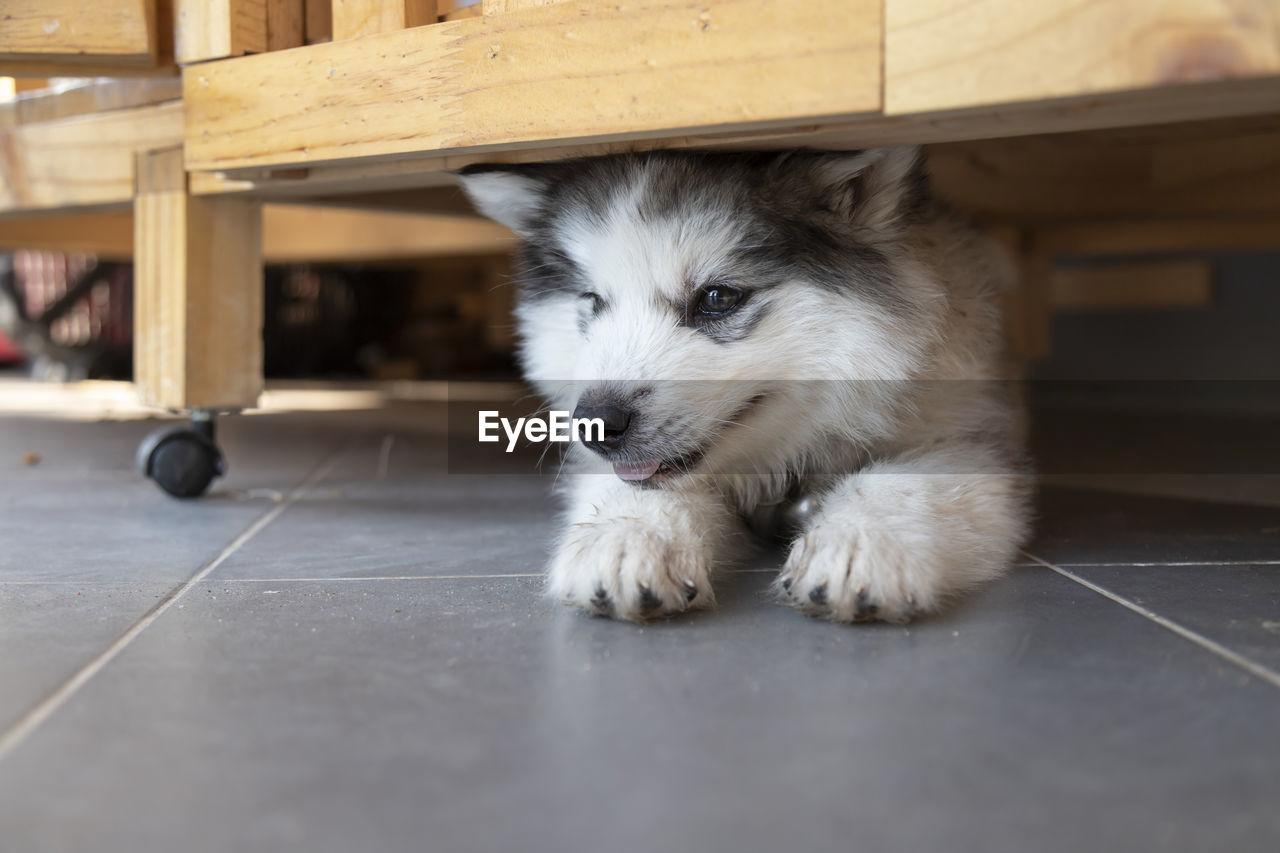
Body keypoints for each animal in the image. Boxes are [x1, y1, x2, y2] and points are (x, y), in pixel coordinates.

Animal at [460, 149, 1029, 622]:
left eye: (716, 298)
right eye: (593, 302)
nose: (595, 425)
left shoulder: (968, 433)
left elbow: (907, 481)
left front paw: (858, 546)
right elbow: (635, 487)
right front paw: (627, 538)